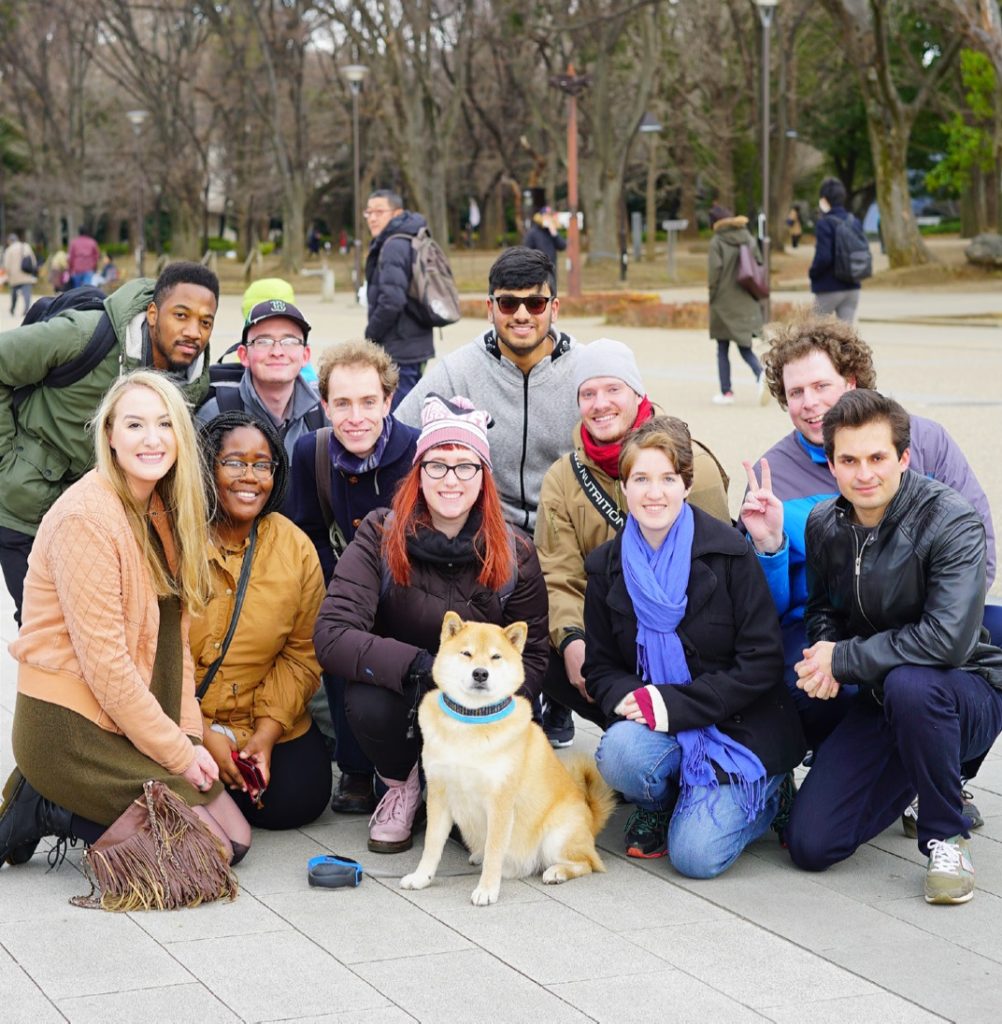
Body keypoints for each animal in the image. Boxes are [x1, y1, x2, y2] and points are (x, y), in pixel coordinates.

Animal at [399, 606, 610, 905]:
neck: (472, 719)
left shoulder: (500, 802)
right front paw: (421, 878)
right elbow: (431, 846)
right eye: (467, 653)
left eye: (496, 656)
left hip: (557, 835)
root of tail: (591, 819)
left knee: (587, 863)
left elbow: (495, 852)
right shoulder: (439, 794)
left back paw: (557, 871)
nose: (480, 673)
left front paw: (487, 889)